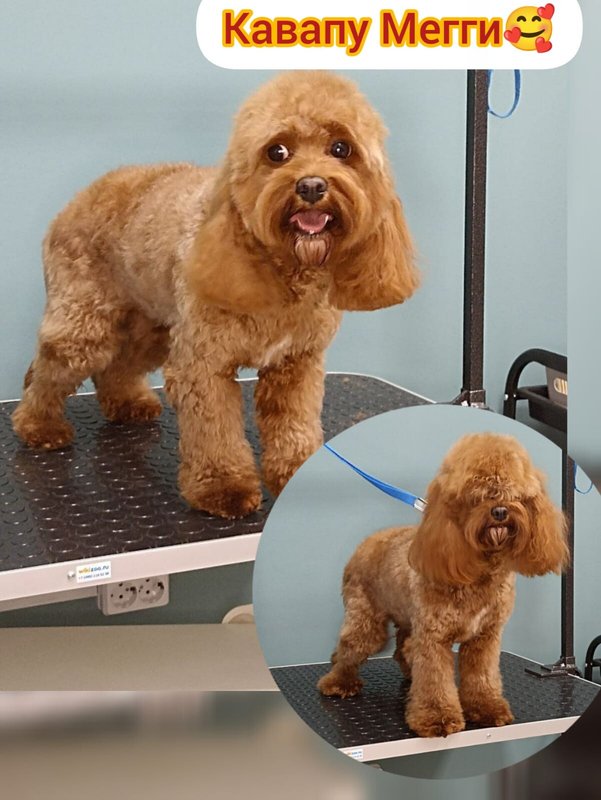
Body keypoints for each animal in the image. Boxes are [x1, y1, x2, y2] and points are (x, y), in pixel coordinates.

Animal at [11, 72, 419, 519]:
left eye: (341, 148)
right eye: (277, 152)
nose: (311, 185)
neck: (284, 268)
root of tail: (75, 201)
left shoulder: (296, 363)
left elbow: (294, 424)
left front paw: (295, 473)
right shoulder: (202, 364)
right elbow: (215, 433)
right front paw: (222, 487)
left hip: (151, 325)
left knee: (117, 366)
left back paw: (128, 403)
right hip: (84, 322)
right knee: (48, 370)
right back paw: (39, 425)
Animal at [318, 433, 569, 738]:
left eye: (514, 493)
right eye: (476, 494)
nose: (499, 511)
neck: (480, 570)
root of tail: (366, 543)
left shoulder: (484, 637)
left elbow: (482, 676)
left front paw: (486, 708)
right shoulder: (433, 638)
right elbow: (435, 681)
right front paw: (436, 718)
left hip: (407, 619)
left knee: (402, 648)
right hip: (367, 620)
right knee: (348, 649)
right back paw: (339, 681)